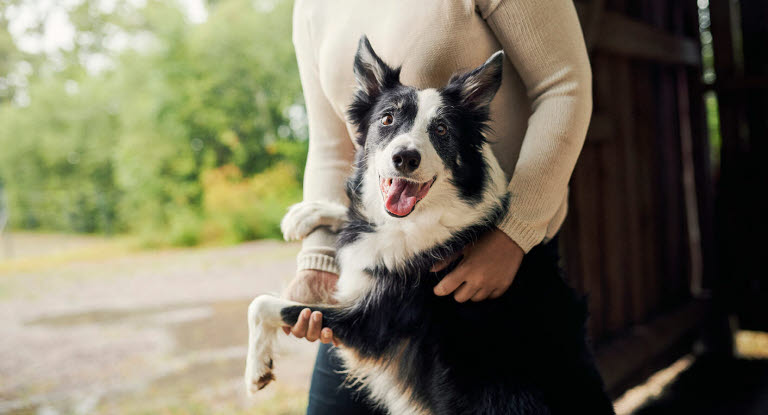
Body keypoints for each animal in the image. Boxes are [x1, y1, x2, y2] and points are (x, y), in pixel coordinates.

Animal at [243, 36, 616, 415]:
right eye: (387, 119)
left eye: (441, 130)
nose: (405, 158)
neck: (410, 222)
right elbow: (350, 213)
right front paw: (308, 212)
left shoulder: (375, 323)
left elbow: (264, 304)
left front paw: (257, 369)